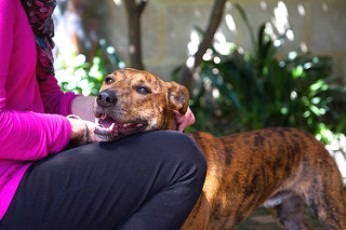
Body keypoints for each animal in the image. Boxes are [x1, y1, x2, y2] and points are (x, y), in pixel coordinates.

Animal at [93, 67, 344, 229]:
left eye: (143, 90)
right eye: (108, 80)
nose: (103, 97)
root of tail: (309, 135)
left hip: (330, 210)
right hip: (289, 215)